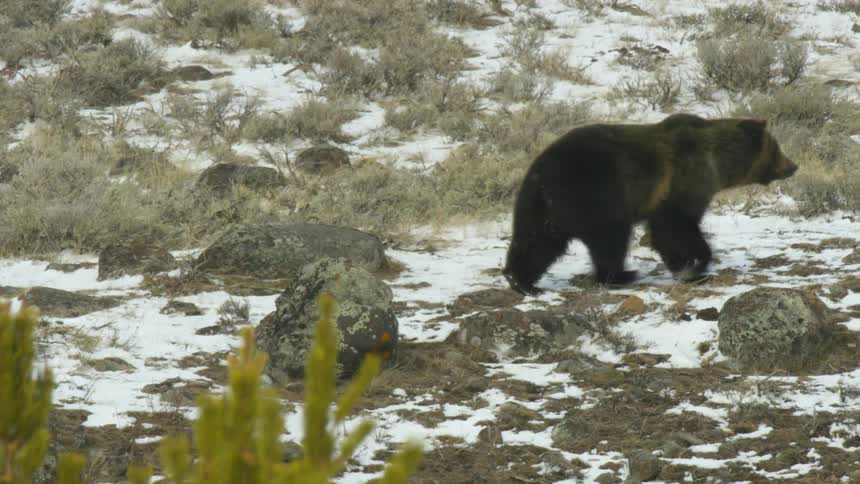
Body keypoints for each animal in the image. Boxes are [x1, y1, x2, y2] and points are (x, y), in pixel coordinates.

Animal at [502, 113, 798, 295]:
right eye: (777, 148)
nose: (793, 166)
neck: (718, 162)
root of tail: (544, 172)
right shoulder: (685, 180)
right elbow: (677, 225)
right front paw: (698, 262)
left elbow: (665, 232)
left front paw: (683, 266)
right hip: (599, 193)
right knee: (610, 240)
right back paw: (621, 275)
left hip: (539, 204)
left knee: (536, 241)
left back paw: (521, 281)